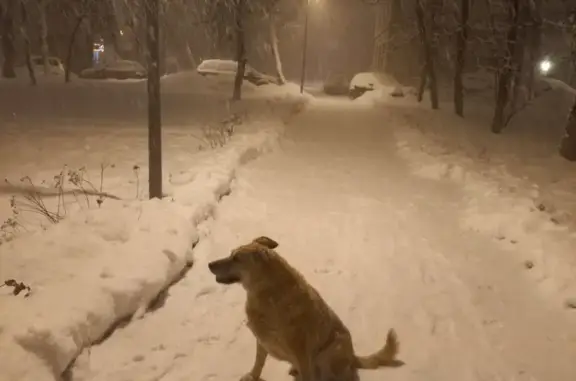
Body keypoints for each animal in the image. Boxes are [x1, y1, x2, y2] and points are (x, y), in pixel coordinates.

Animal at [208, 236, 404, 378]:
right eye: (231, 253)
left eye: (236, 258)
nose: (209, 264)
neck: (268, 294)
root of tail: (353, 357)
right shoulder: (262, 340)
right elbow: (258, 363)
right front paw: (252, 376)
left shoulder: (301, 351)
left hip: (329, 351)